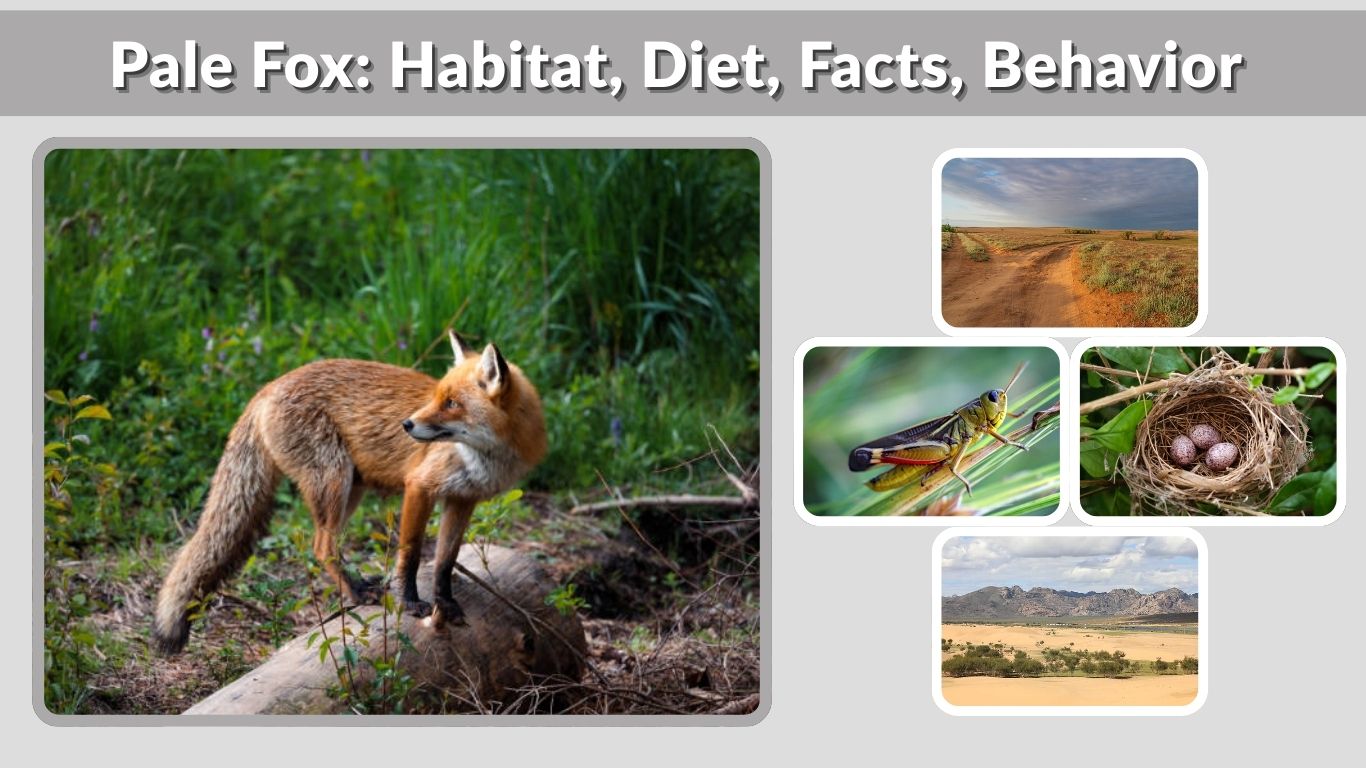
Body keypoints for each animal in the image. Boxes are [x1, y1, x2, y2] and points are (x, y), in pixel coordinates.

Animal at [152, 333, 547, 654]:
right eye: (438, 396)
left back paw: (358, 584)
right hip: (333, 483)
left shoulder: (463, 499)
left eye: (451, 403)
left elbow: (445, 561)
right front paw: (410, 603)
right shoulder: (419, 486)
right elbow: (411, 553)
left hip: (350, 490)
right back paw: (357, 592)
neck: (486, 458)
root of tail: (268, 386)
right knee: (321, 546)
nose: (407, 424)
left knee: (328, 545)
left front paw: (444, 604)